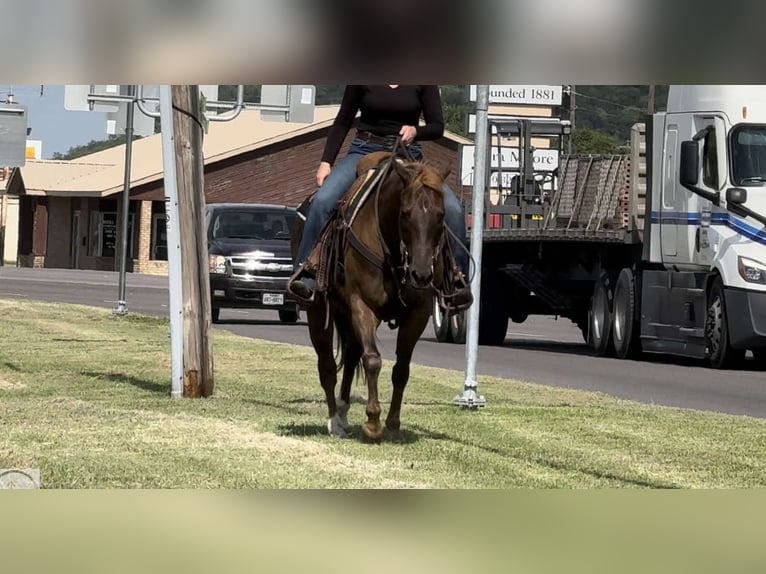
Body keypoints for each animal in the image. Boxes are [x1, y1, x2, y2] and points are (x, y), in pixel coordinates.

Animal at [290, 148, 455, 442]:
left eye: (441, 215)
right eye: (405, 213)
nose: (421, 274)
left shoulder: (419, 312)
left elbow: (401, 369)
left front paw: (393, 424)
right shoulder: (362, 305)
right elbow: (373, 360)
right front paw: (373, 422)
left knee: (351, 356)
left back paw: (343, 412)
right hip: (319, 311)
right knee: (328, 367)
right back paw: (334, 421)